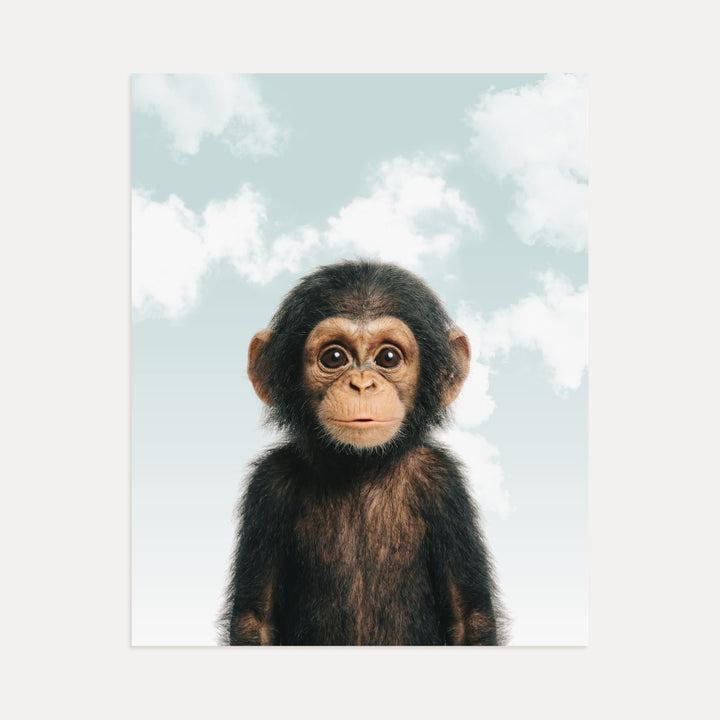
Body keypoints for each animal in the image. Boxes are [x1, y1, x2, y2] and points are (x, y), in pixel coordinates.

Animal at [220, 260, 507, 645]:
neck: (361, 466)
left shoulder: (444, 482)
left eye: (388, 357)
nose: (361, 384)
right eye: (334, 357)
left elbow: (469, 619)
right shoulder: (269, 484)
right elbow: (255, 620)